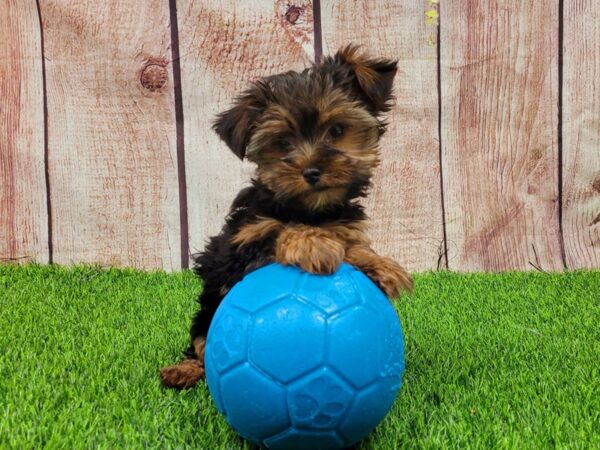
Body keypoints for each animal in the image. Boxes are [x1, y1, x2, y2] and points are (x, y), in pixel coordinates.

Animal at [159, 46, 412, 390]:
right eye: (283, 143)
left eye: (337, 131)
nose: (312, 171)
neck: (309, 210)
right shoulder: (242, 247)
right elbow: (279, 230)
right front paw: (314, 244)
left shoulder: (345, 225)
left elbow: (354, 245)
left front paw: (380, 265)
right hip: (208, 309)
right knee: (200, 345)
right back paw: (183, 371)